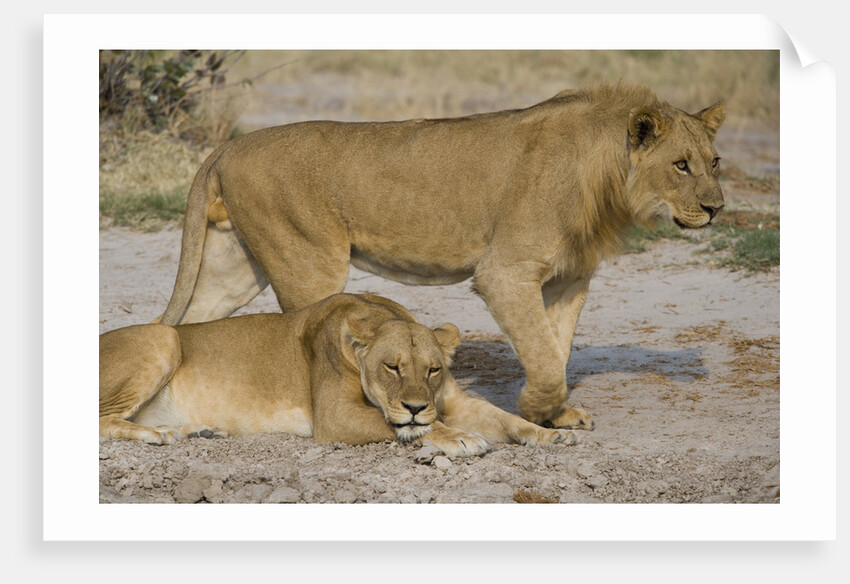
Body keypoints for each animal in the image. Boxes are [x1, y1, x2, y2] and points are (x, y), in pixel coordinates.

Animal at [101, 293, 576, 458]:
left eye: (433, 369)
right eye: (392, 367)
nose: (416, 406)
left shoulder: (454, 400)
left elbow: (506, 419)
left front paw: (550, 434)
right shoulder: (333, 417)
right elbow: (406, 426)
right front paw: (456, 438)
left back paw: (195, 431)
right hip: (164, 337)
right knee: (104, 420)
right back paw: (161, 434)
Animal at [156, 83, 726, 430]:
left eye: (714, 162)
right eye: (680, 165)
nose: (716, 209)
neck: (605, 176)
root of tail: (227, 146)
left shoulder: (569, 278)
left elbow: (556, 347)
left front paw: (554, 415)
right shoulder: (504, 272)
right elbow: (544, 357)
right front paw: (533, 410)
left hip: (235, 264)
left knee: (189, 323)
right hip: (308, 262)